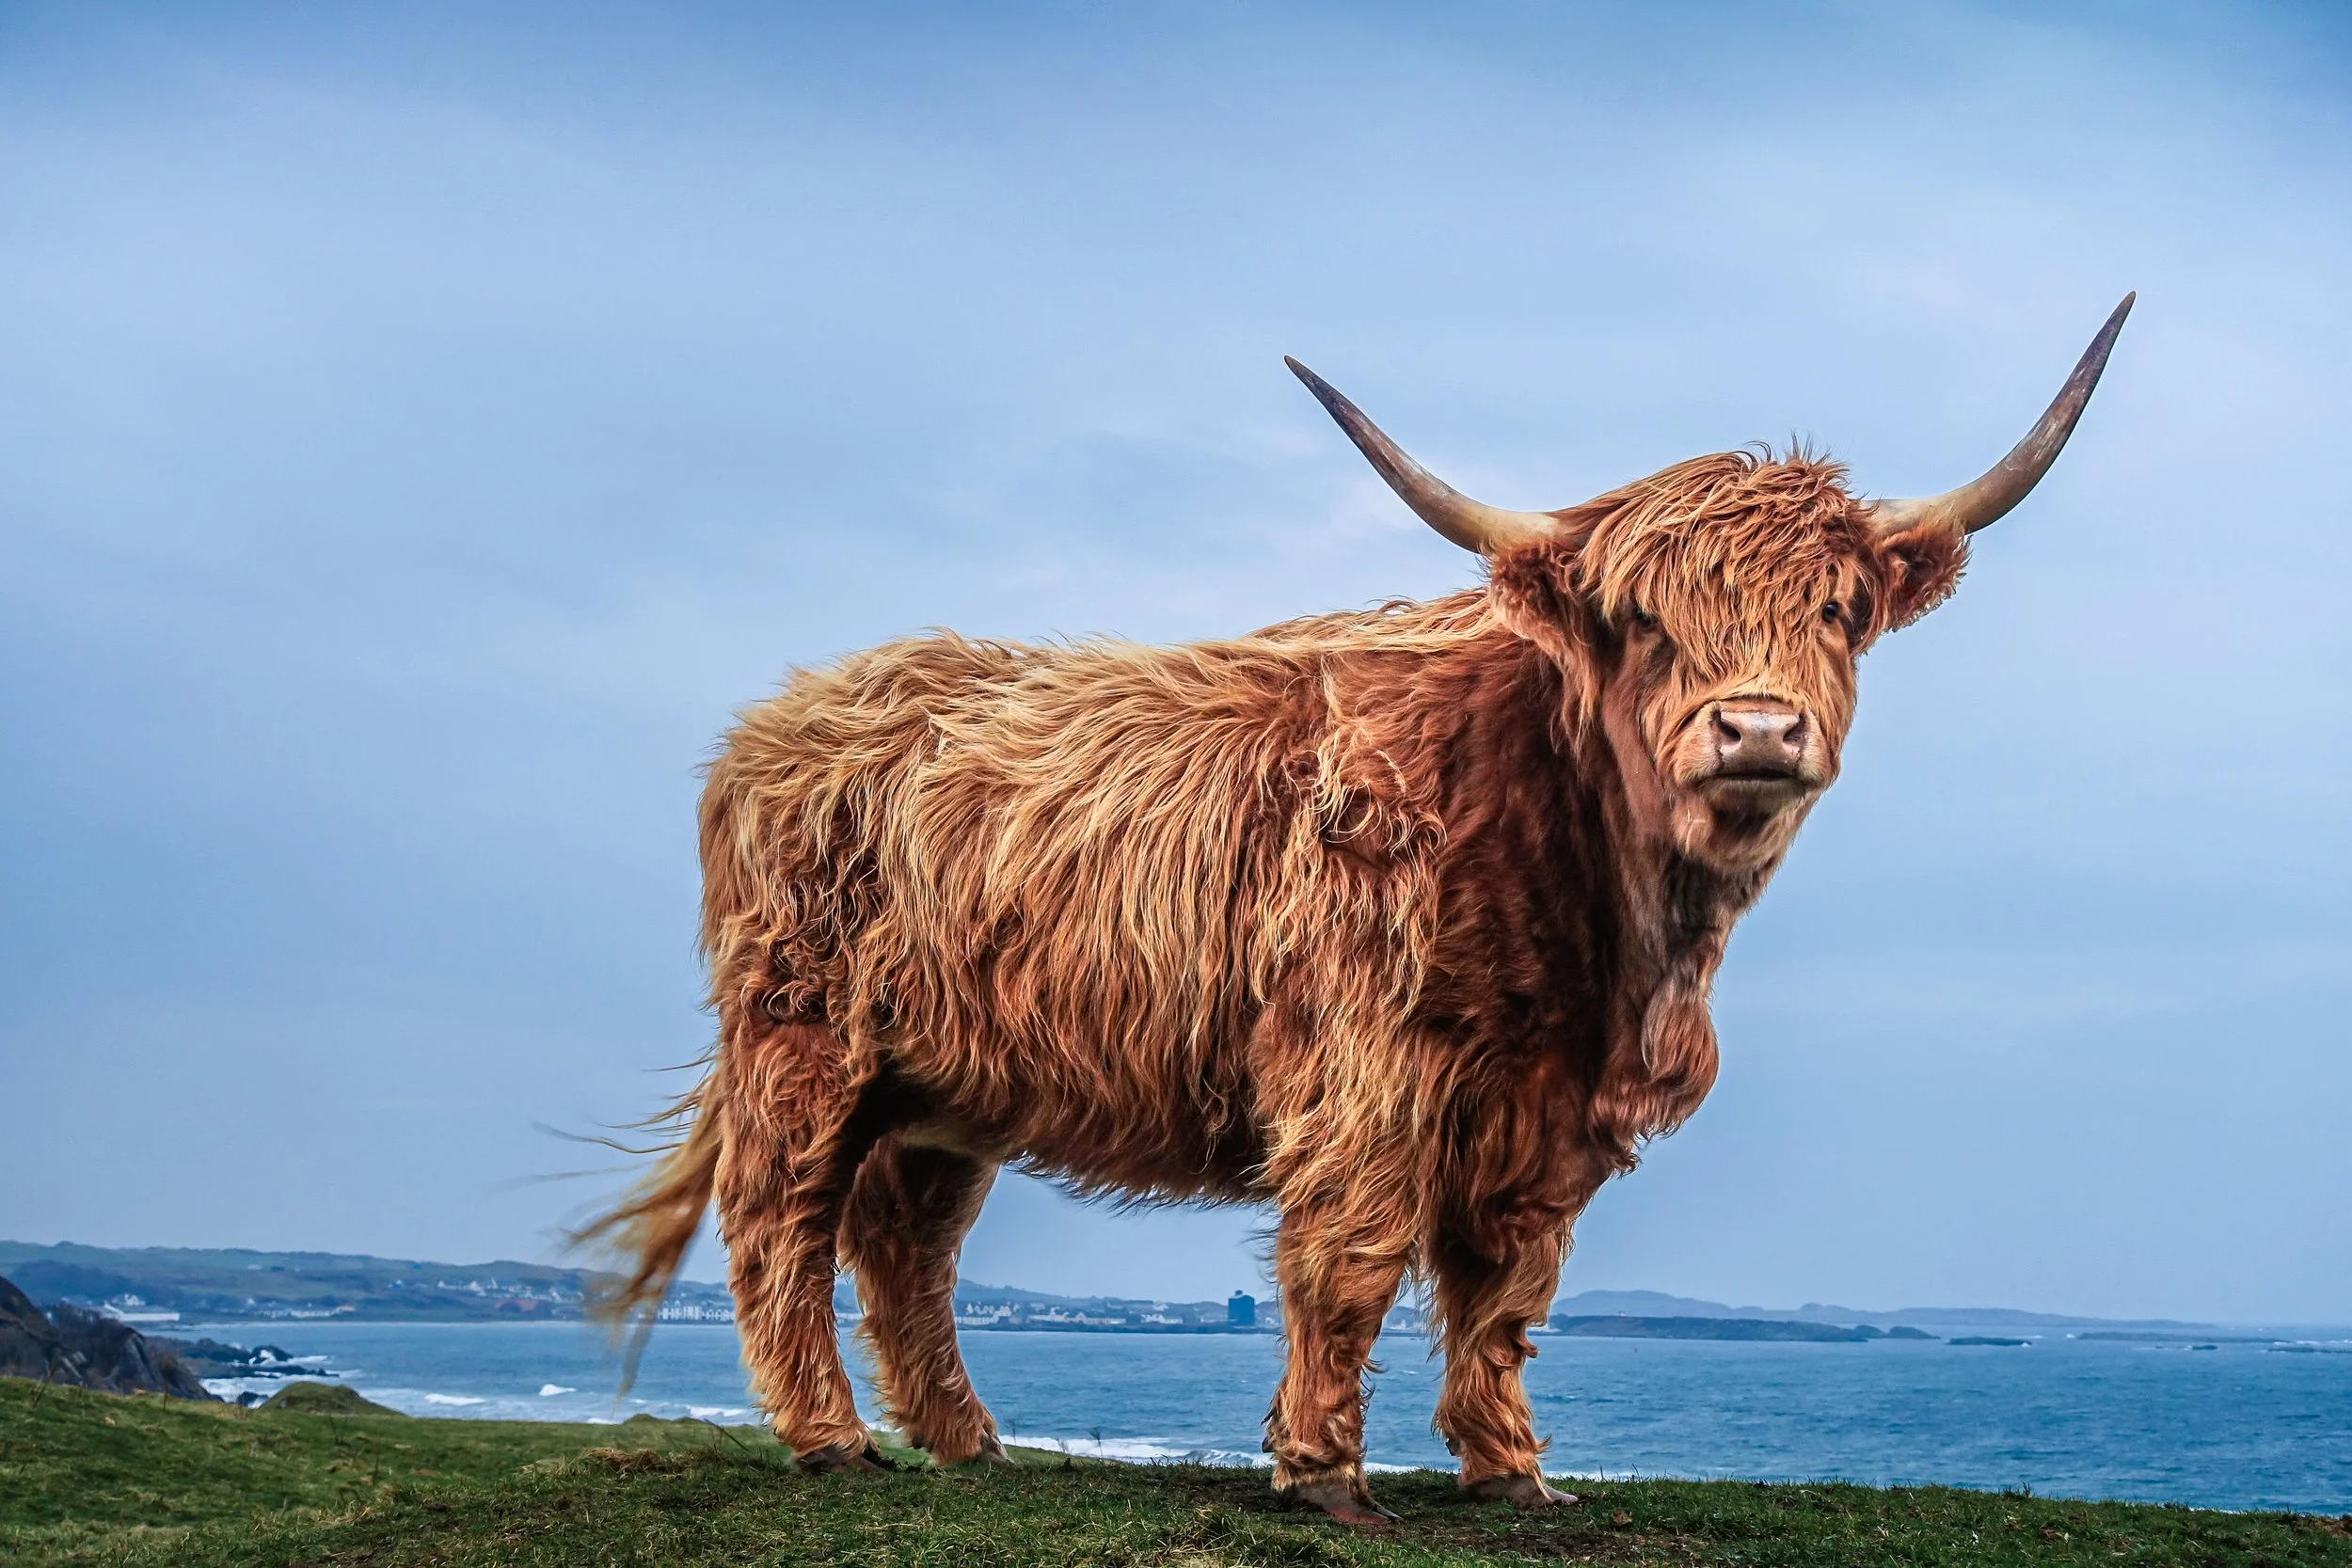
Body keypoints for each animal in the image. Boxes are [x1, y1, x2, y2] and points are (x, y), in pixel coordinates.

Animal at [585, 298, 2132, 1522]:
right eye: (1640, 621)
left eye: (1839, 611)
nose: (1756, 728)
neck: (1607, 930)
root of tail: (791, 710)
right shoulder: (1367, 1066)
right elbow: (1358, 1249)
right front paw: (1324, 1469)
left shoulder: (1550, 1102)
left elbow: (1510, 1278)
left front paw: (1511, 1471)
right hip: (805, 1034)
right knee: (782, 1218)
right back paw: (832, 1441)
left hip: (945, 1077)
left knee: (907, 1238)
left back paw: (972, 1444)